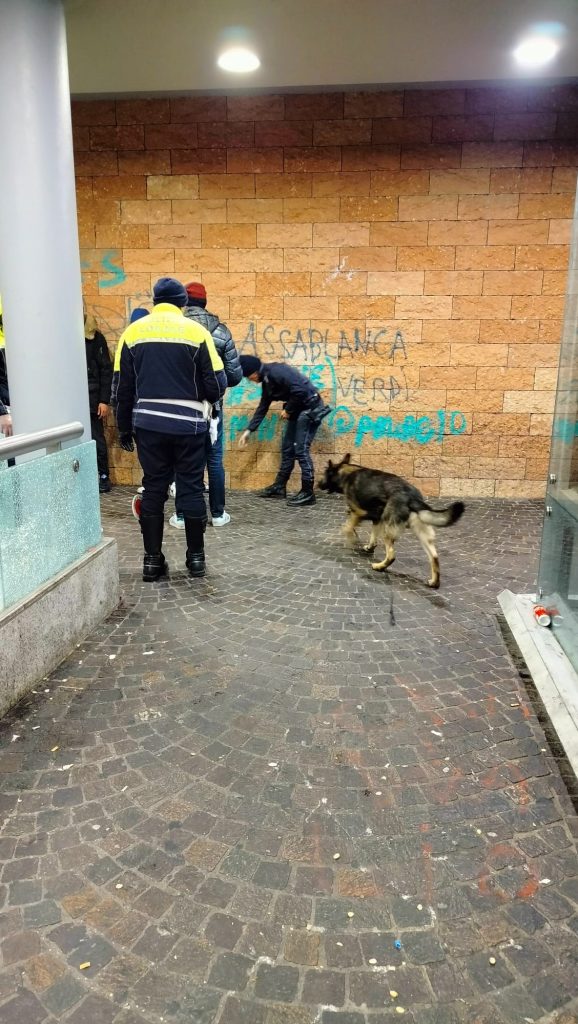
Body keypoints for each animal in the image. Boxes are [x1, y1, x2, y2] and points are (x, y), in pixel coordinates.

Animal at [319, 454, 465, 589]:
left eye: (324, 474)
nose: (318, 484)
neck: (346, 473)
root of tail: (412, 497)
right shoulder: (377, 519)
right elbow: (372, 537)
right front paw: (369, 547)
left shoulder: (358, 513)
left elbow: (347, 528)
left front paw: (352, 540)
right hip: (422, 535)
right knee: (434, 557)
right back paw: (434, 582)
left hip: (388, 531)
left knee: (392, 555)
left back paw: (379, 567)